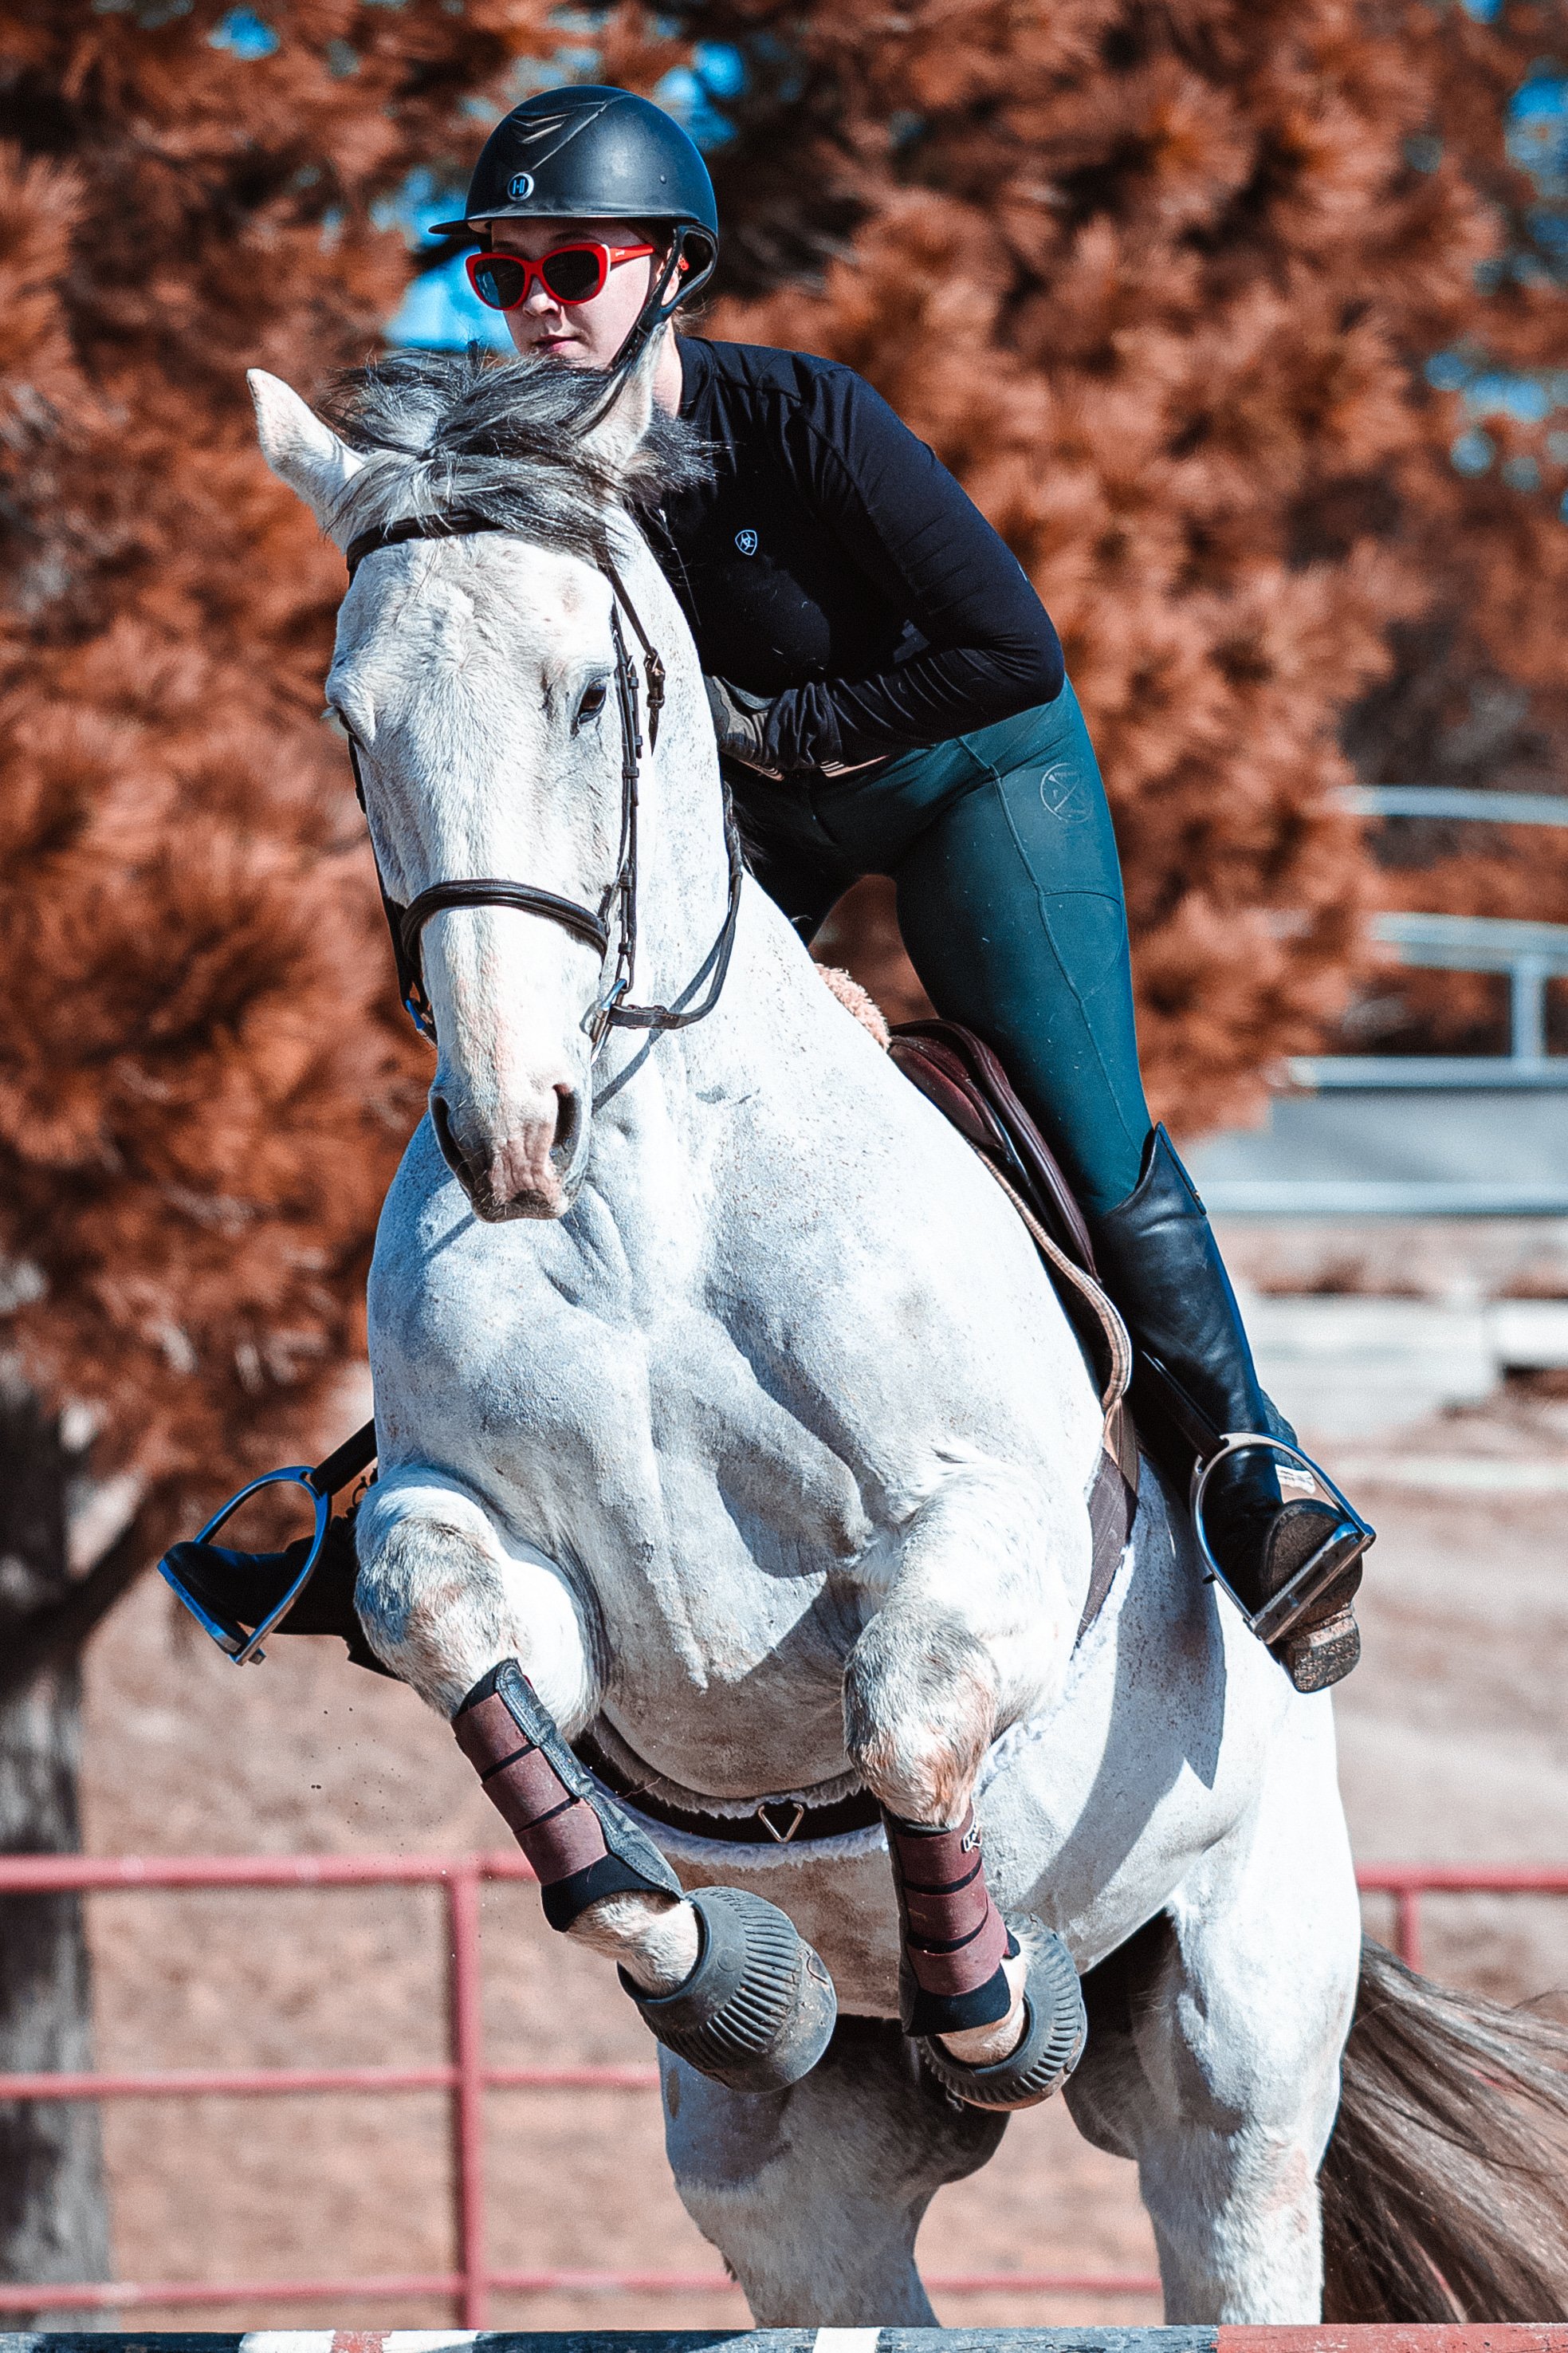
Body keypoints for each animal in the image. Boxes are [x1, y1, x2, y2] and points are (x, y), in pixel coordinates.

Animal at [246, 344, 1568, 2327]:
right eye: (353, 718)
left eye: (588, 690)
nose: (506, 1130)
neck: (639, 1204)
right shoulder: (493, 1553)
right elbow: (460, 1637)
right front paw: (716, 1964)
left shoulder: (981, 1534)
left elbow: (902, 1709)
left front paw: (991, 2005)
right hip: (794, 2198)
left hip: (1236, 2048)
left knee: (1230, 2194)